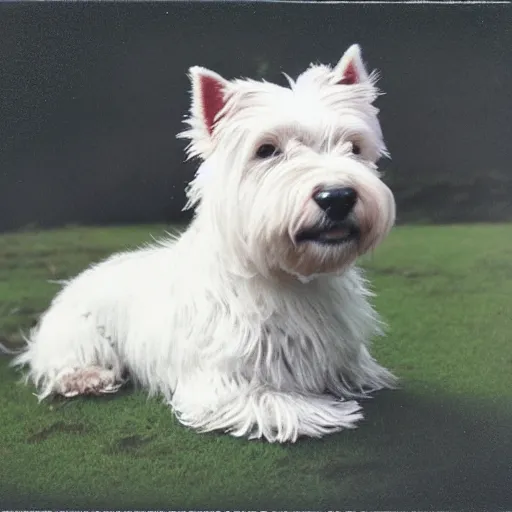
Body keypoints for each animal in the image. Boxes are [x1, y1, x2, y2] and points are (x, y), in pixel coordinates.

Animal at [12, 44, 398, 444]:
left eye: (353, 146)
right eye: (266, 150)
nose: (337, 197)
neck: (289, 277)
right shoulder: (222, 381)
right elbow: (275, 402)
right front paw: (329, 412)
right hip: (78, 332)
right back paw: (86, 377)